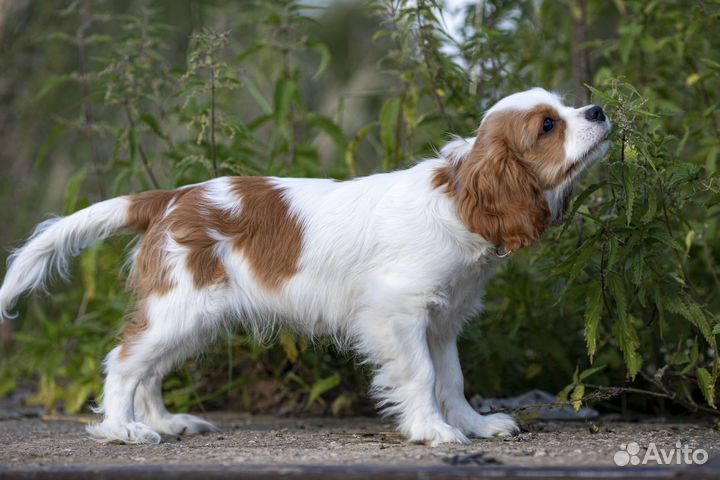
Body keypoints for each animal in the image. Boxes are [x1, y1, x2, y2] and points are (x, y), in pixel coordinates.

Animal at [0, 88, 612, 444]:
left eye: (566, 107)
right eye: (547, 126)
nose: (599, 110)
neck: (459, 200)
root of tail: (171, 197)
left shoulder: (442, 320)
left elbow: (453, 379)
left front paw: (474, 425)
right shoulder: (398, 313)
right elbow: (420, 375)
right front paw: (432, 432)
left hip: (194, 317)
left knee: (148, 369)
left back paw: (165, 423)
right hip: (181, 307)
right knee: (124, 362)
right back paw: (122, 429)